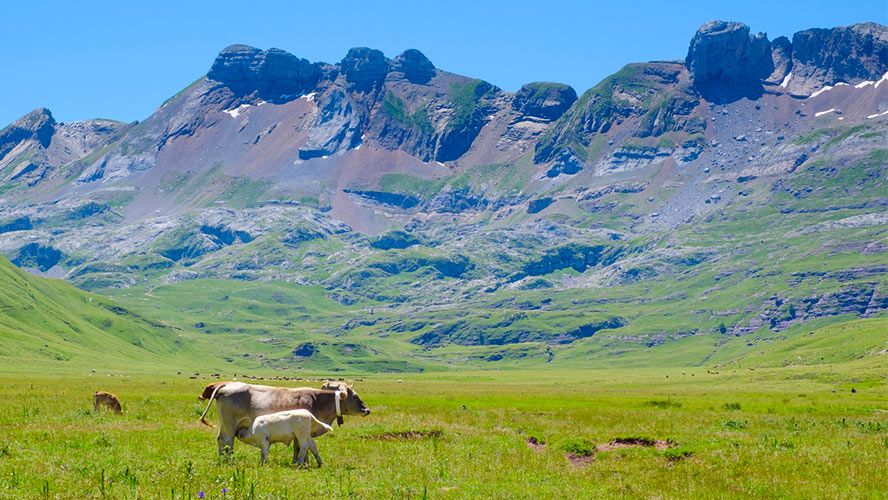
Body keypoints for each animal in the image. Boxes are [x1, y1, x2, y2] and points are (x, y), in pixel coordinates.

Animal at [199, 382, 370, 458]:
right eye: (356, 396)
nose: (367, 410)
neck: (317, 401)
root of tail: (227, 384)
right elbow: (302, 447)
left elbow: (298, 447)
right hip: (229, 424)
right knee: (228, 441)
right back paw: (229, 460)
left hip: (224, 425)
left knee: (221, 439)